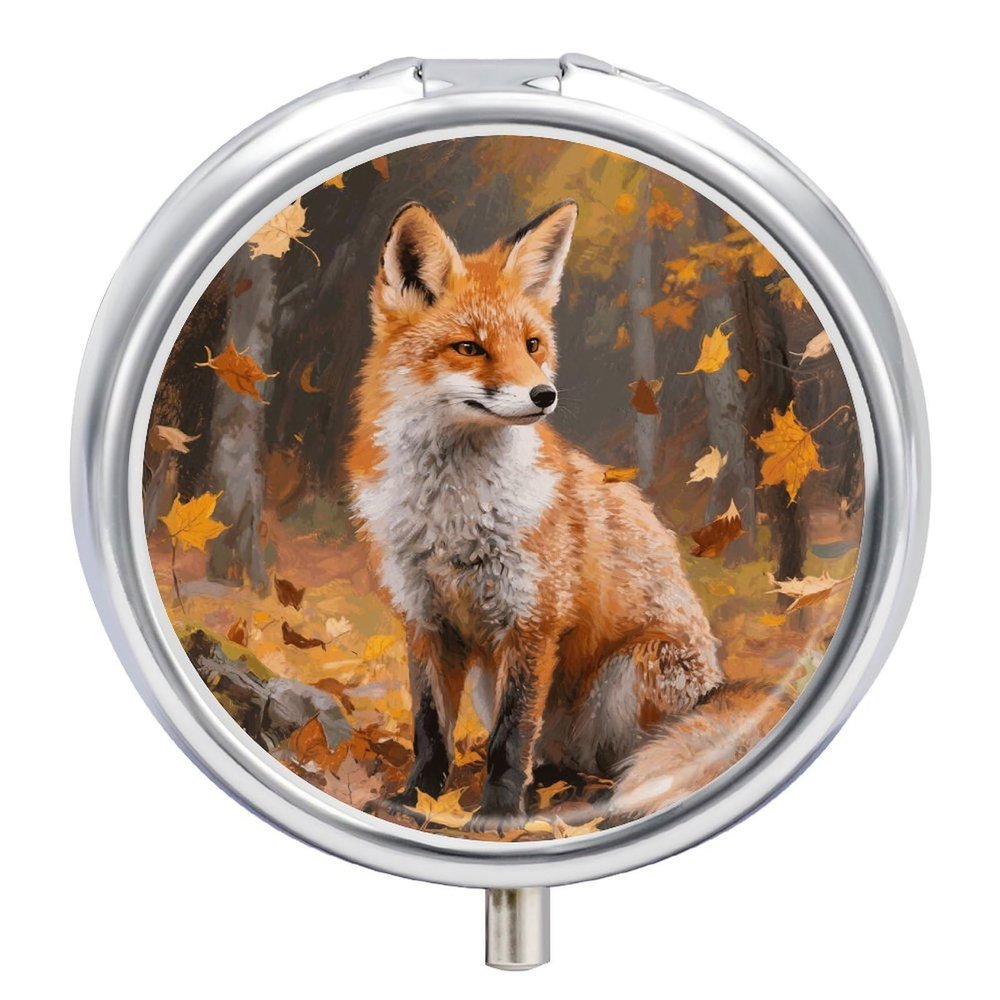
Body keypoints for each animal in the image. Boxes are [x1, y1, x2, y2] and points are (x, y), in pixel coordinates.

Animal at [348, 200, 789, 830]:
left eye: (532, 344)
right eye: (469, 348)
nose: (543, 395)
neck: (451, 515)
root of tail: (714, 686)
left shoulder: (532, 618)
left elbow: (511, 737)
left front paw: (499, 818)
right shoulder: (424, 619)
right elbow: (430, 730)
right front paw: (415, 801)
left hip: (627, 675)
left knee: (622, 763)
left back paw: (586, 803)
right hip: (496, 681)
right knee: (559, 759)